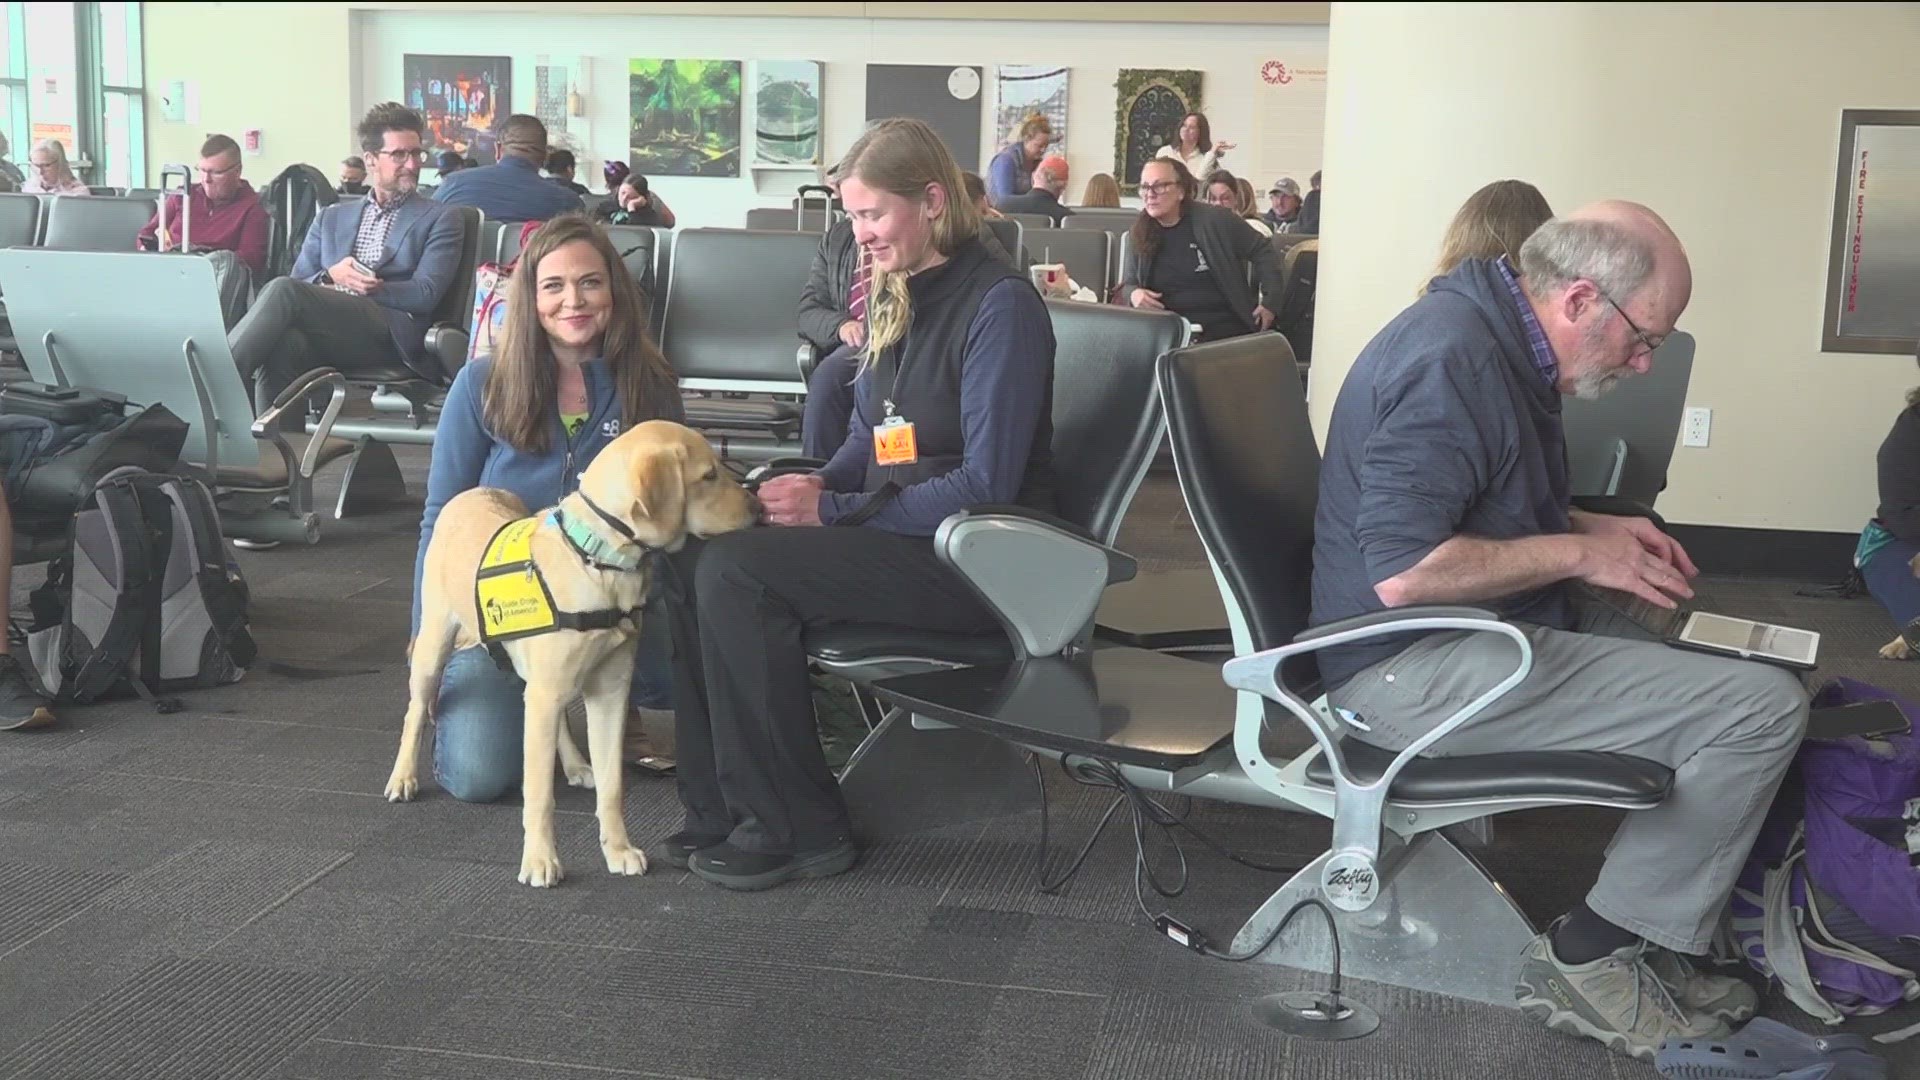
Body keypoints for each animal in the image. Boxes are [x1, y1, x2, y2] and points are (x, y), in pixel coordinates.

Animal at [384, 420, 756, 883]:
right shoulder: (546, 695)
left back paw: (578, 765)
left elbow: (613, 786)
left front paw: (618, 849)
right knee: (416, 712)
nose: (758, 506)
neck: (599, 559)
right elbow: (539, 792)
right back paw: (403, 777)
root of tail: (471, 493)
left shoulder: (609, 693)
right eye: (708, 476)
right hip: (435, 644)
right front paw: (540, 860)